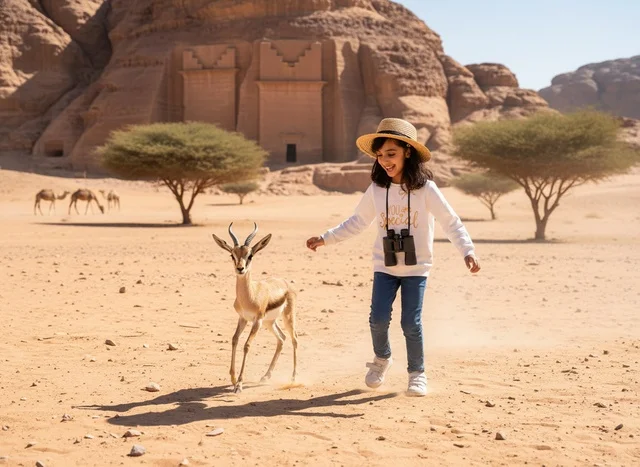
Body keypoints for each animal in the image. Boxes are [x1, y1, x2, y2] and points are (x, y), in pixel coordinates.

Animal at [212, 222, 298, 393]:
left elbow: (246, 345)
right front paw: (233, 379)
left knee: (294, 340)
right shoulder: (243, 318)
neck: (251, 295)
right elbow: (234, 340)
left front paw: (239, 384)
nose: (240, 269)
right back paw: (266, 376)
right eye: (232, 255)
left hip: (287, 317)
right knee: (281, 339)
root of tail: (284, 282)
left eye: (250, 255)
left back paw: (293, 378)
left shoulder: (256, 321)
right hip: (269, 323)